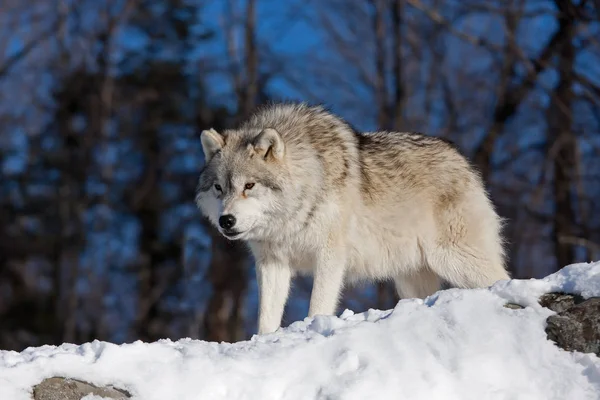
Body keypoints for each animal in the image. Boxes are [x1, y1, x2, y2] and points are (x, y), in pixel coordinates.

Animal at [197, 102, 510, 334]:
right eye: (219, 188)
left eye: (249, 186)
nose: (226, 221)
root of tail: (463, 162)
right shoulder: (272, 263)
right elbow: (266, 318)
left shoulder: (330, 256)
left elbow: (319, 305)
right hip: (411, 278)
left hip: (456, 260)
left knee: (502, 278)